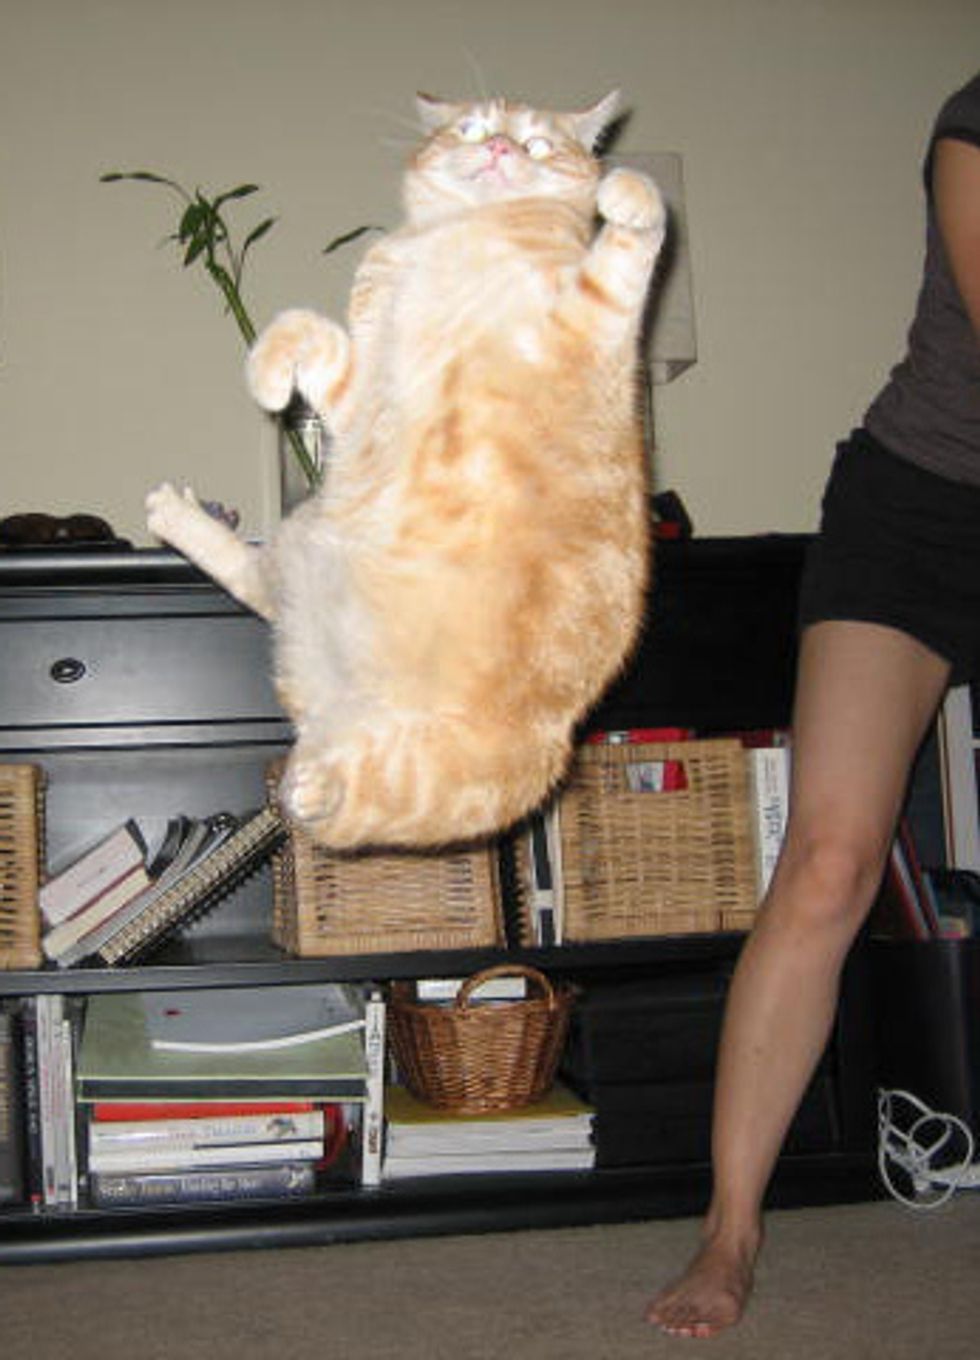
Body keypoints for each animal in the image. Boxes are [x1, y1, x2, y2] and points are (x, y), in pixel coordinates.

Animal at [146, 91, 666, 851]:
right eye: (474, 128)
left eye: (538, 144)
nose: (500, 149)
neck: (463, 231)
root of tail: (332, 709)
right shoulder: (359, 387)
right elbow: (301, 326)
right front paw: (269, 380)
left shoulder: (595, 320)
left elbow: (636, 238)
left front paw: (627, 192)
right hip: (303, 552)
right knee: (253, 582)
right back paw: (177, 515)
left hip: (415, 767)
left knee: (343, 792)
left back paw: (309, 780)